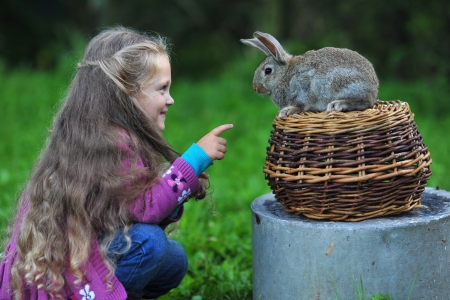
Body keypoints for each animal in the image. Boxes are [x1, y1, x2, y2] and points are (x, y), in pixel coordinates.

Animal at [241, 31, 378, 117]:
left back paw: (338, 104)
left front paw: (287, 111)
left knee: (366, 103)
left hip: (342, 82)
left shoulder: (302, 87)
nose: (255, 87)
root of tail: (375, 89)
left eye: (268, 71)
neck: (285, 74)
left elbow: (300, 105)